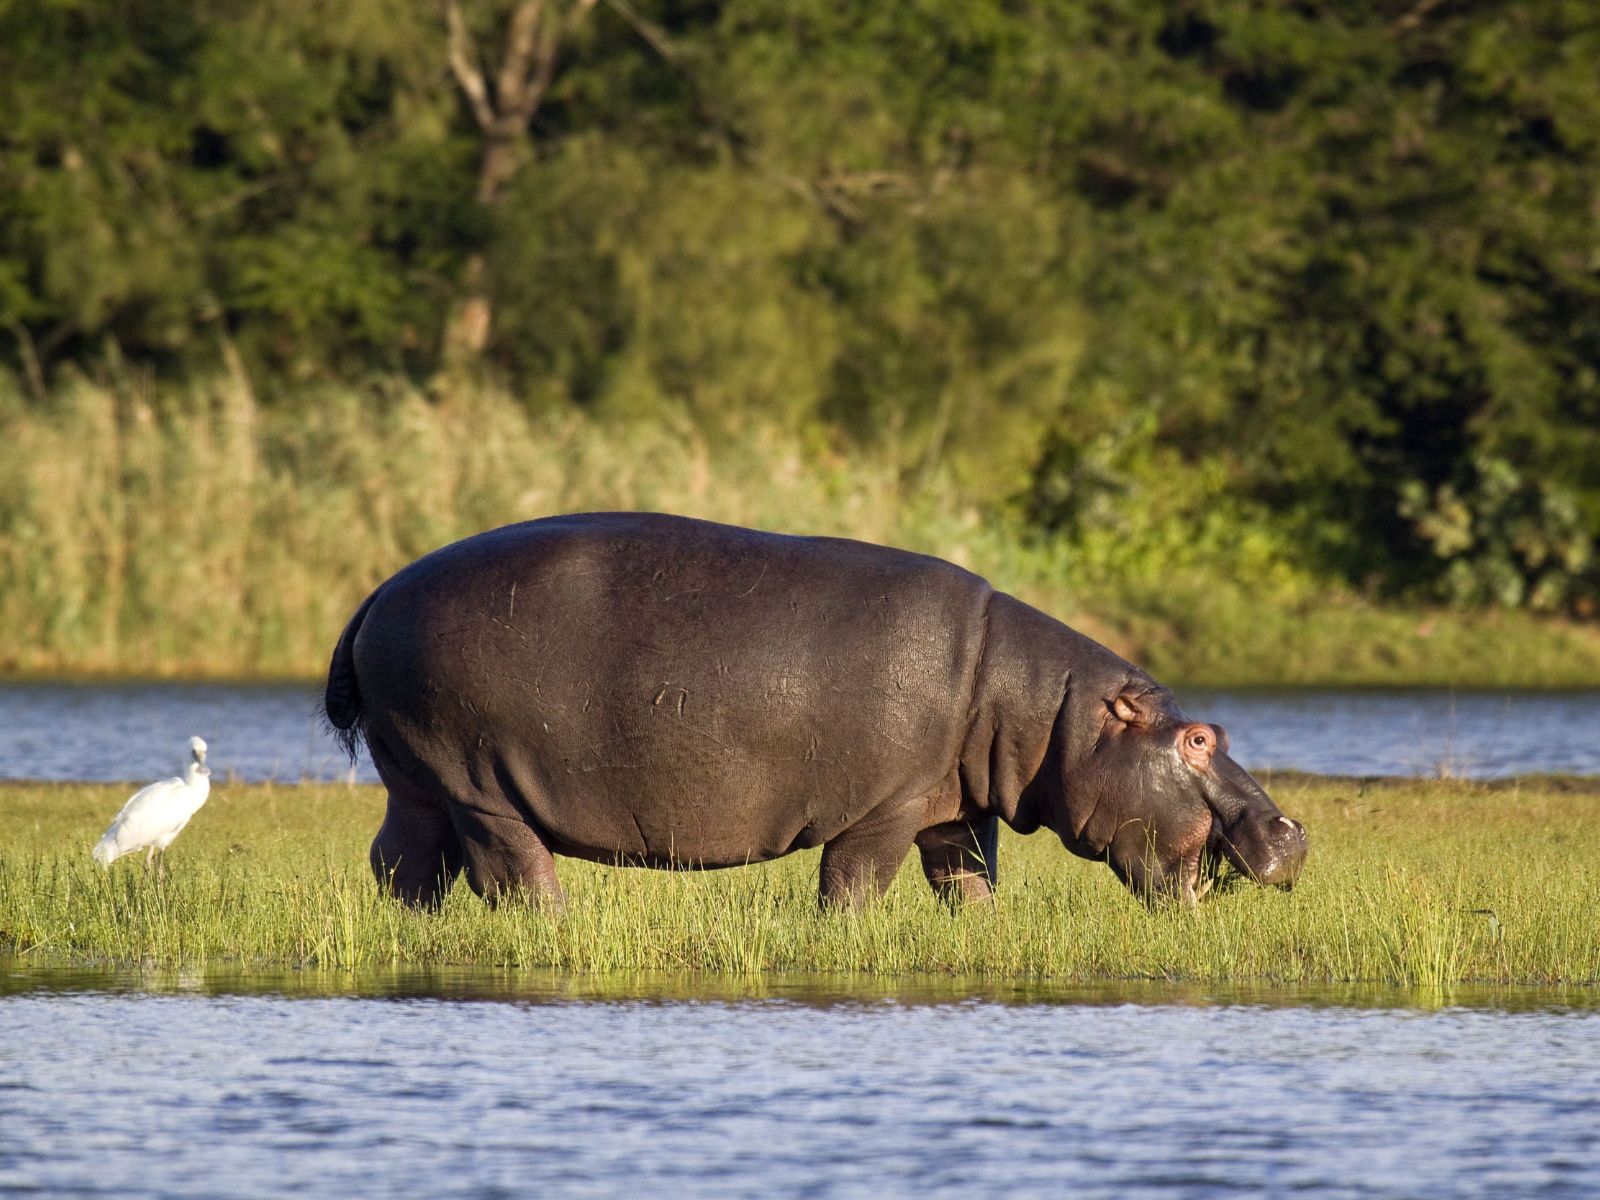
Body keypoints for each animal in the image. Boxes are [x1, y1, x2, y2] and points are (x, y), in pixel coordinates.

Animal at [324, 512, 1306, 909]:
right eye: (1198, 738)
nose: (1292, 831)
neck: (1043, 710)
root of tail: (374, 595)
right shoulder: (883, 808)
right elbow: (854, 889)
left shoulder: (954, 810)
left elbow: (969, 886)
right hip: (478, 784)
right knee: (514, 875)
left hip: (416, 777)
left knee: (402, 866)